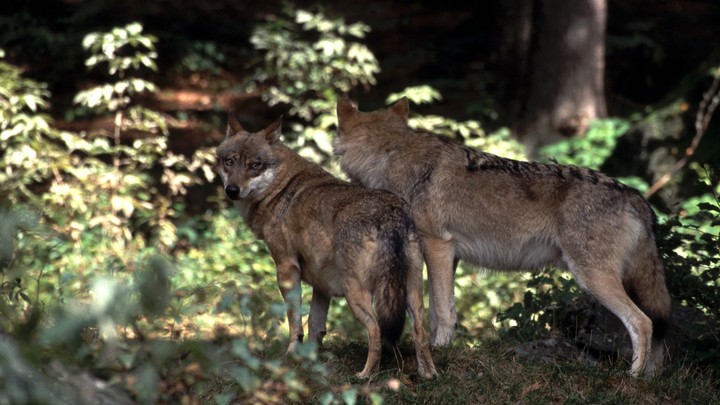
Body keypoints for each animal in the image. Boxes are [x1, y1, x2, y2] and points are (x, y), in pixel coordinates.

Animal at [215, 114, 438, 378]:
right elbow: (315, 325)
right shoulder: (322, 284)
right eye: (229, 161)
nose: (232, 190)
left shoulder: (286, 270)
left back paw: (365, 376)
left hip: (357, 294)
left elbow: (295, 322)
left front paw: (292, 356)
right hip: (411, 296)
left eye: (254, 165)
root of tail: (391, 215)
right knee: (420, 333)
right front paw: (310, 360)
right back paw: (428, 375)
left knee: (376, 330)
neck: (280, 188)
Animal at [334, 96, 672, 378]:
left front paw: (439, 352)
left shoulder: (437, 246)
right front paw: (439, 350)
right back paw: (651, 379)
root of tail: (637, 197)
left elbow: (442, 312)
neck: (390, 156)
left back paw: (632, 377)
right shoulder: (449, 256)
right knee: (657, 329)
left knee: (643, 322)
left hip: (593, 278)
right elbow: (437, 312)